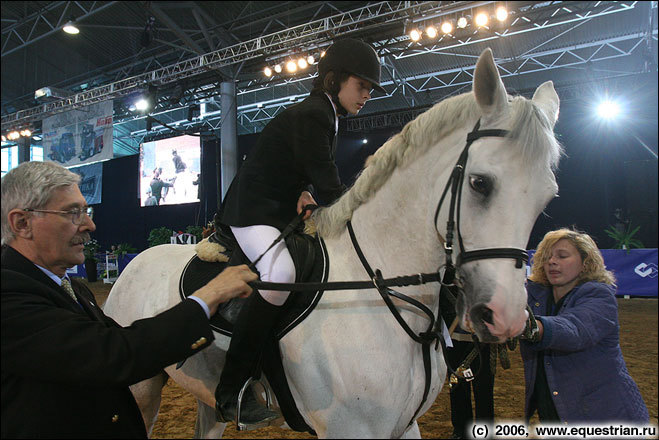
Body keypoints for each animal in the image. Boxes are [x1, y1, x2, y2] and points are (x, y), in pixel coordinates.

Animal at [104, 47, 564, 436]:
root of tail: (135, 262)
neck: (379, 284)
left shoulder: (403, 426)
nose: (505, 318)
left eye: (548, 198)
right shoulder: (352, 428)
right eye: (480, 183)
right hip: (142, 389)